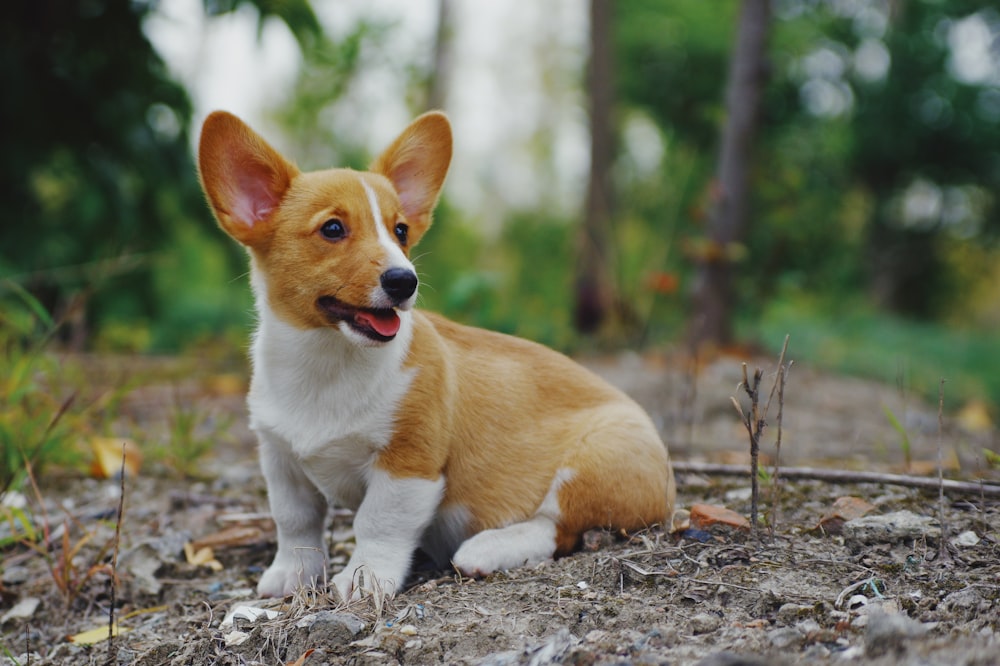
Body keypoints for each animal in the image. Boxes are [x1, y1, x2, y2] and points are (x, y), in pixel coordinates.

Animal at [196, 111, 676, 600]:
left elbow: (377, 523)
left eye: (400, 231)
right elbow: (295, 522)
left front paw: (364, 579)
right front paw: (293, 576)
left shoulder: (408, 464)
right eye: (332, 228)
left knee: (556, 528)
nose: (404, 281)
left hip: (594, 463)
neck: (328, 360)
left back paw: (486, 550)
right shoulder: (280, 460)